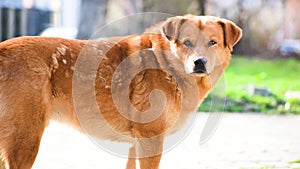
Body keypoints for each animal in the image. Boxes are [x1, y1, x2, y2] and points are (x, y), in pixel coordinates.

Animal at [0, 14, 241, 169]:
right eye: (187, 43)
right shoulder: (150, 139)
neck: (166, 64)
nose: (199, 63)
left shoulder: (136, 143)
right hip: (26, 139)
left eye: (213, 42)